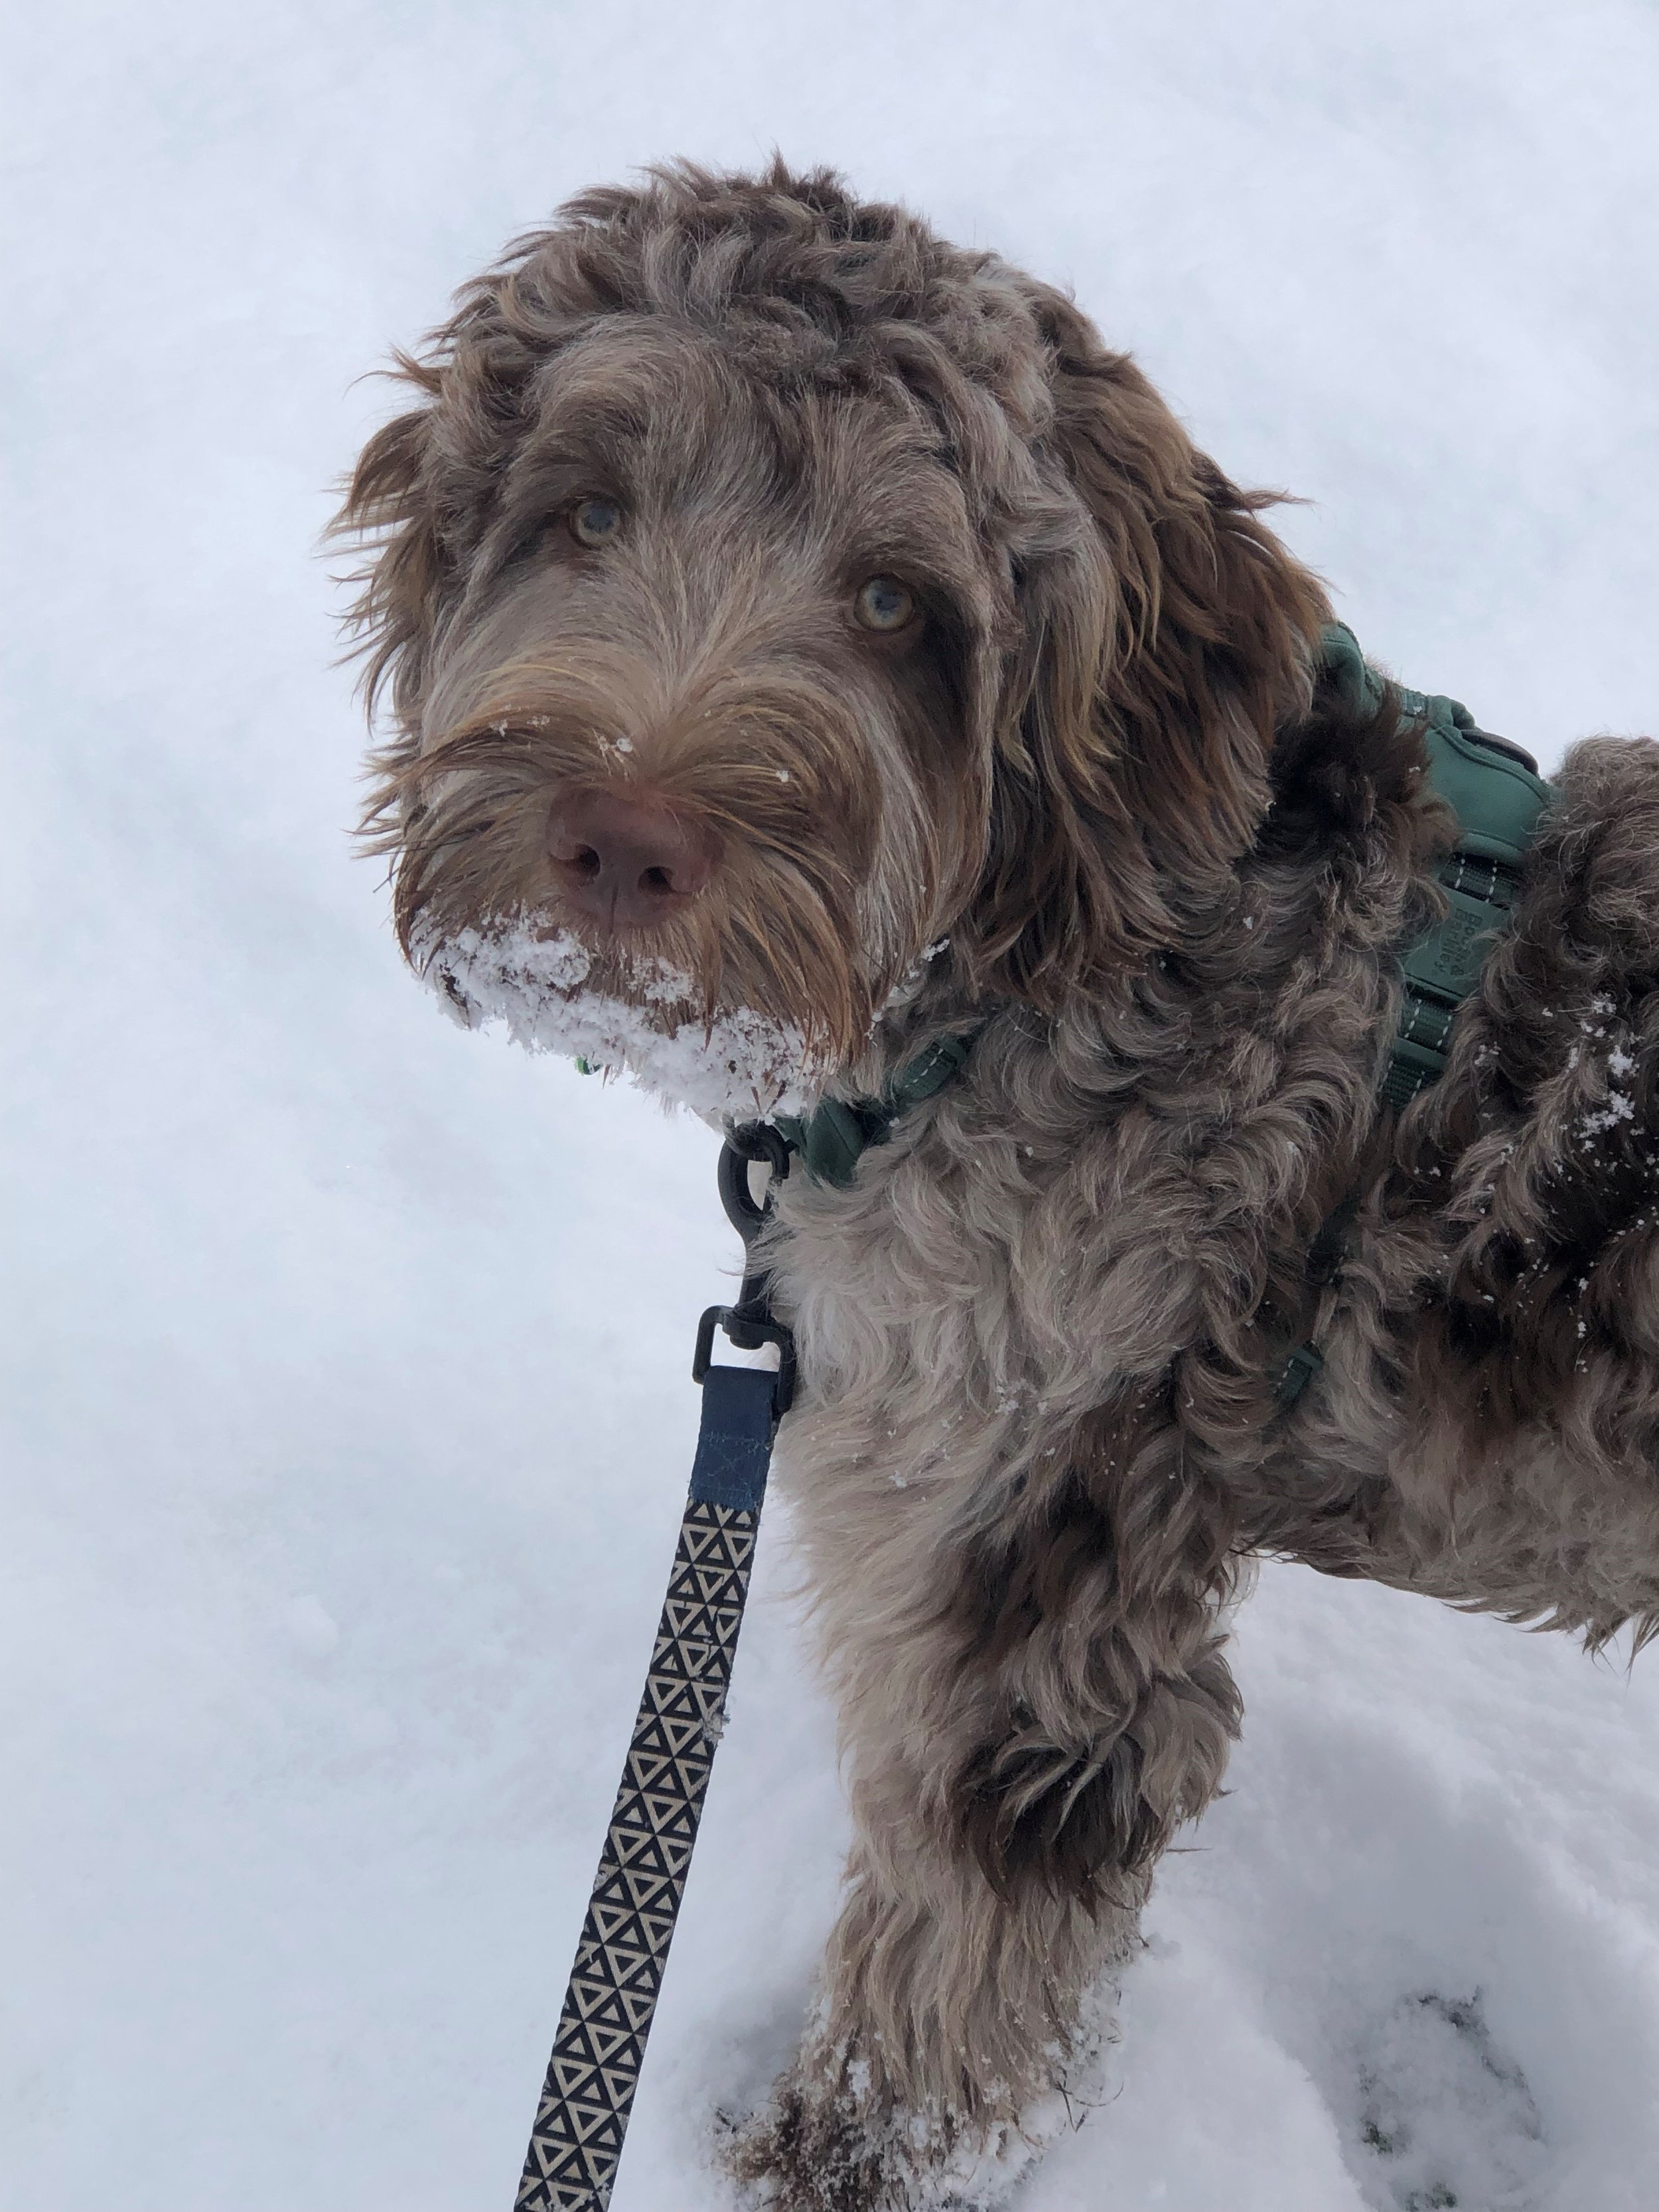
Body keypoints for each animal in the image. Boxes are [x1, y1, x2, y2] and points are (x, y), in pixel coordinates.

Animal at [338, 163, 1659, 2203]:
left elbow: (953, 1954)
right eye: (587, 512)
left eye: (898, 602)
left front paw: (825, 2160)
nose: (620, 840)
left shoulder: (1027, 1555)